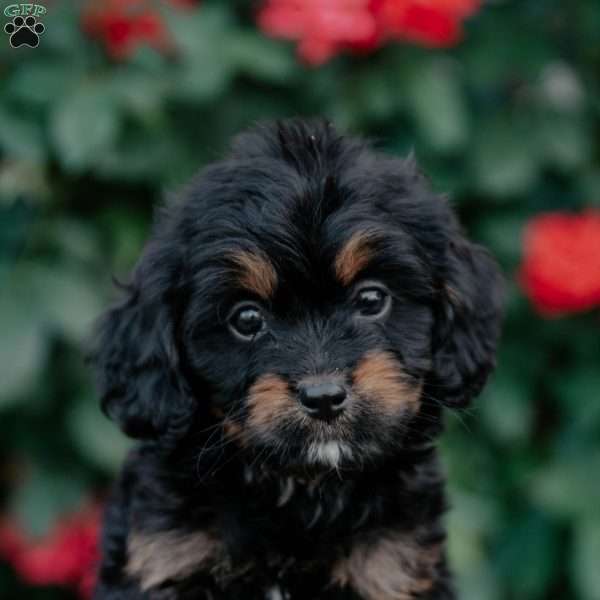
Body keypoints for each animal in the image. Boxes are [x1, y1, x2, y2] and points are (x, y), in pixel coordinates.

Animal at [91, 118, 504, 600]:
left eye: (372, 299)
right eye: (246, 318)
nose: (323, 396)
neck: (301, 489)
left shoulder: (390, 567)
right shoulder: (165, 556)